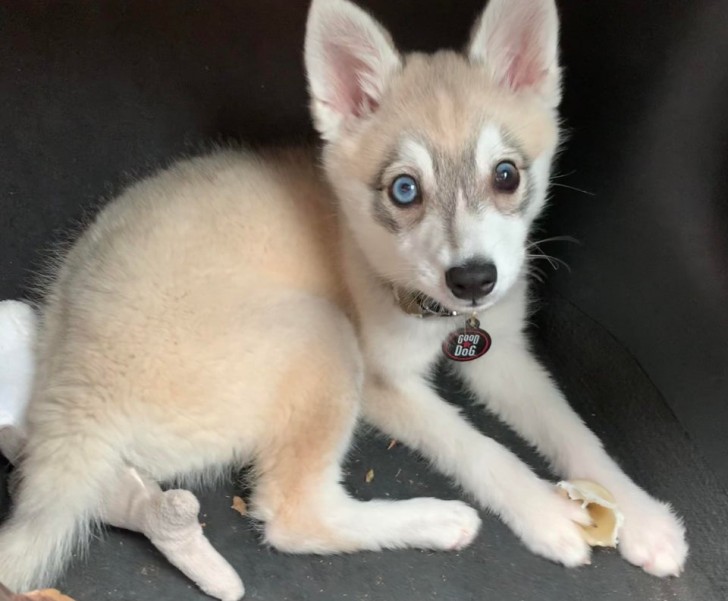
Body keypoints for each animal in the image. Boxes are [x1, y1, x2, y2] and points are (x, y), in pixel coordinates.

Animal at [0, 0, 688, 592]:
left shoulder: (503, 353)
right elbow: (480, 446)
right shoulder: (386, 382)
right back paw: (436, 519)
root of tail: (72, 399)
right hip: (323, 335)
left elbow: (575, 432)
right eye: (404, 190)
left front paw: (644, 517)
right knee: (293, 516)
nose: (473, 280)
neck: (435, 313)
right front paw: (545, 514)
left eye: (506, 175)